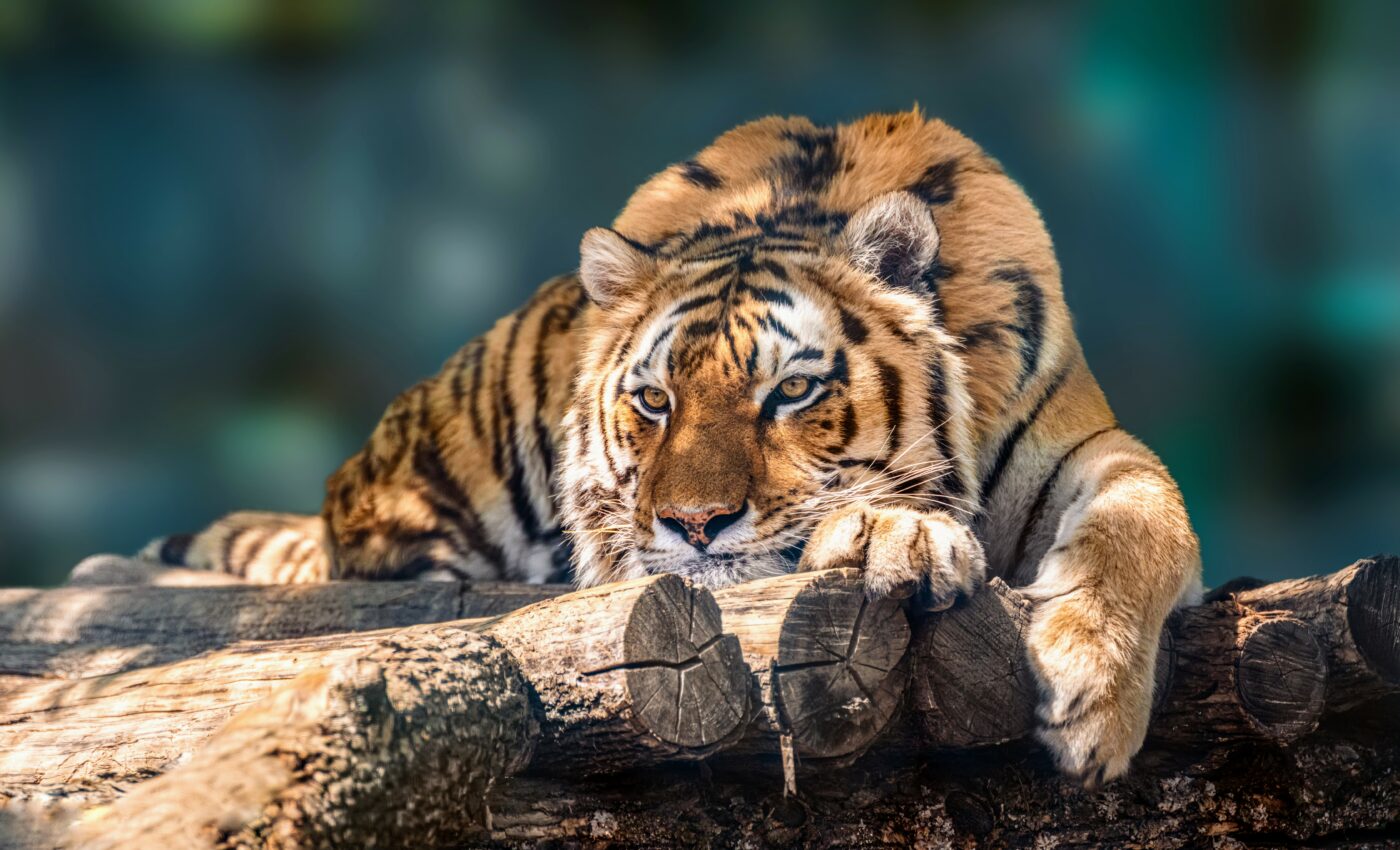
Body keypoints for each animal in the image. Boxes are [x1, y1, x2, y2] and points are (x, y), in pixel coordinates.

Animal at [138, 109, 1202, 786]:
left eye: (793, 391)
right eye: (653, 401)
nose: (695, 525)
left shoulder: (1087, 443)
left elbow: (1151, 514)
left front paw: (1089, 701)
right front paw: (888, 535)